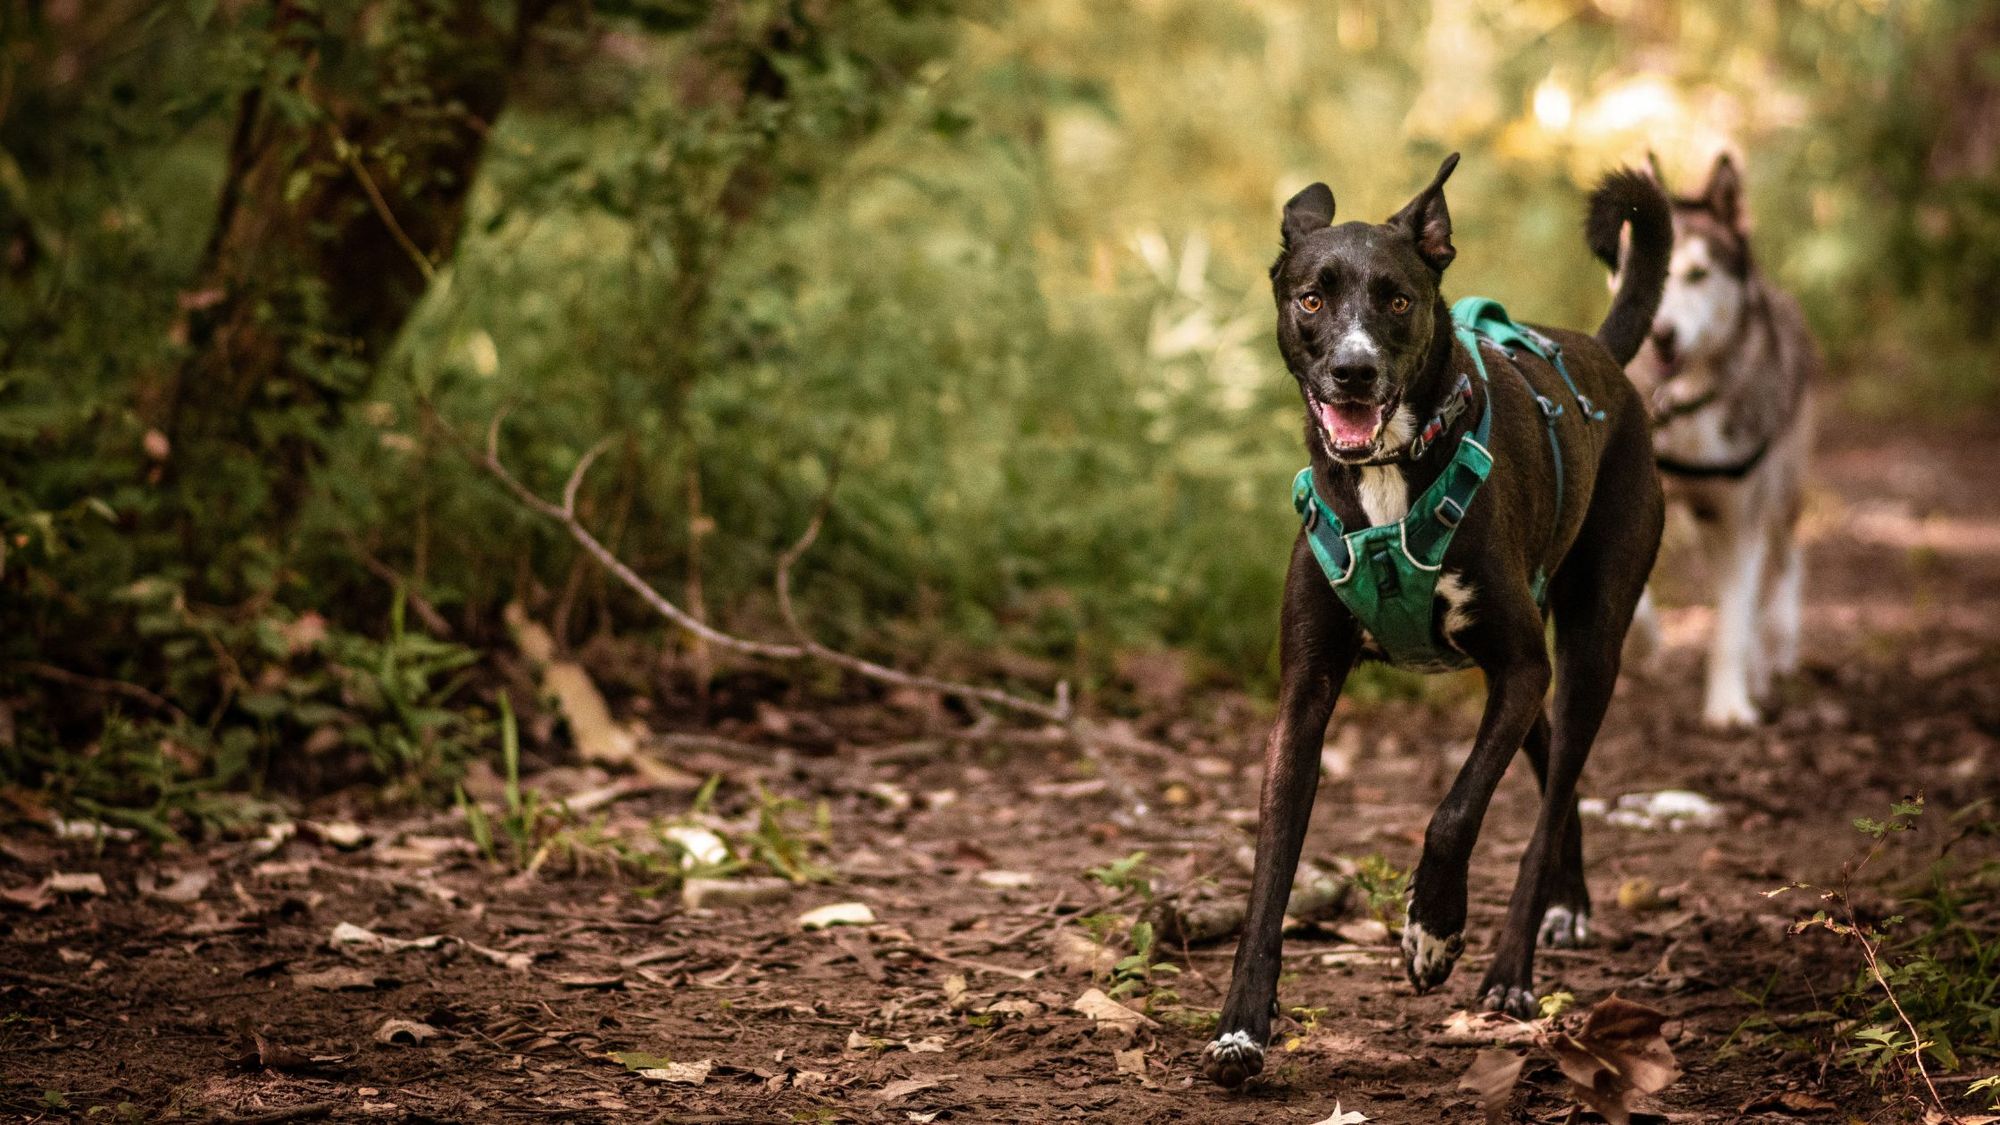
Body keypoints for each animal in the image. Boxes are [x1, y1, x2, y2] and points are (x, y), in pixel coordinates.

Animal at [1200, 153, 1672, 1080]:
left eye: (1396, 298)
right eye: (1311, 298)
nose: (1352, 372)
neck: (1390, 474)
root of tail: (1602, 353)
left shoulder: (1522, 666)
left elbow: (1455, 810)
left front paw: (1434, 930)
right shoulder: (1306, 694)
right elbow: (1271, 867)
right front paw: (1242, 1024)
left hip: (1588, 646)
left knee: (1552, 788)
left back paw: (1512, 968)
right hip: (1531, 674)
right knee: (1551, 764)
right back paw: (1567, 901)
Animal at [1632, 153, 1824, 720]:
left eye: (1698, 274)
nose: (1661, 334)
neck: (1686, 408)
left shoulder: (1742, 517)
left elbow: (1734, 624)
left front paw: (1729, 706)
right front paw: (1646, 644)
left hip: (1781, 489)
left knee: (1785, 564)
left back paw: (1774, 652)